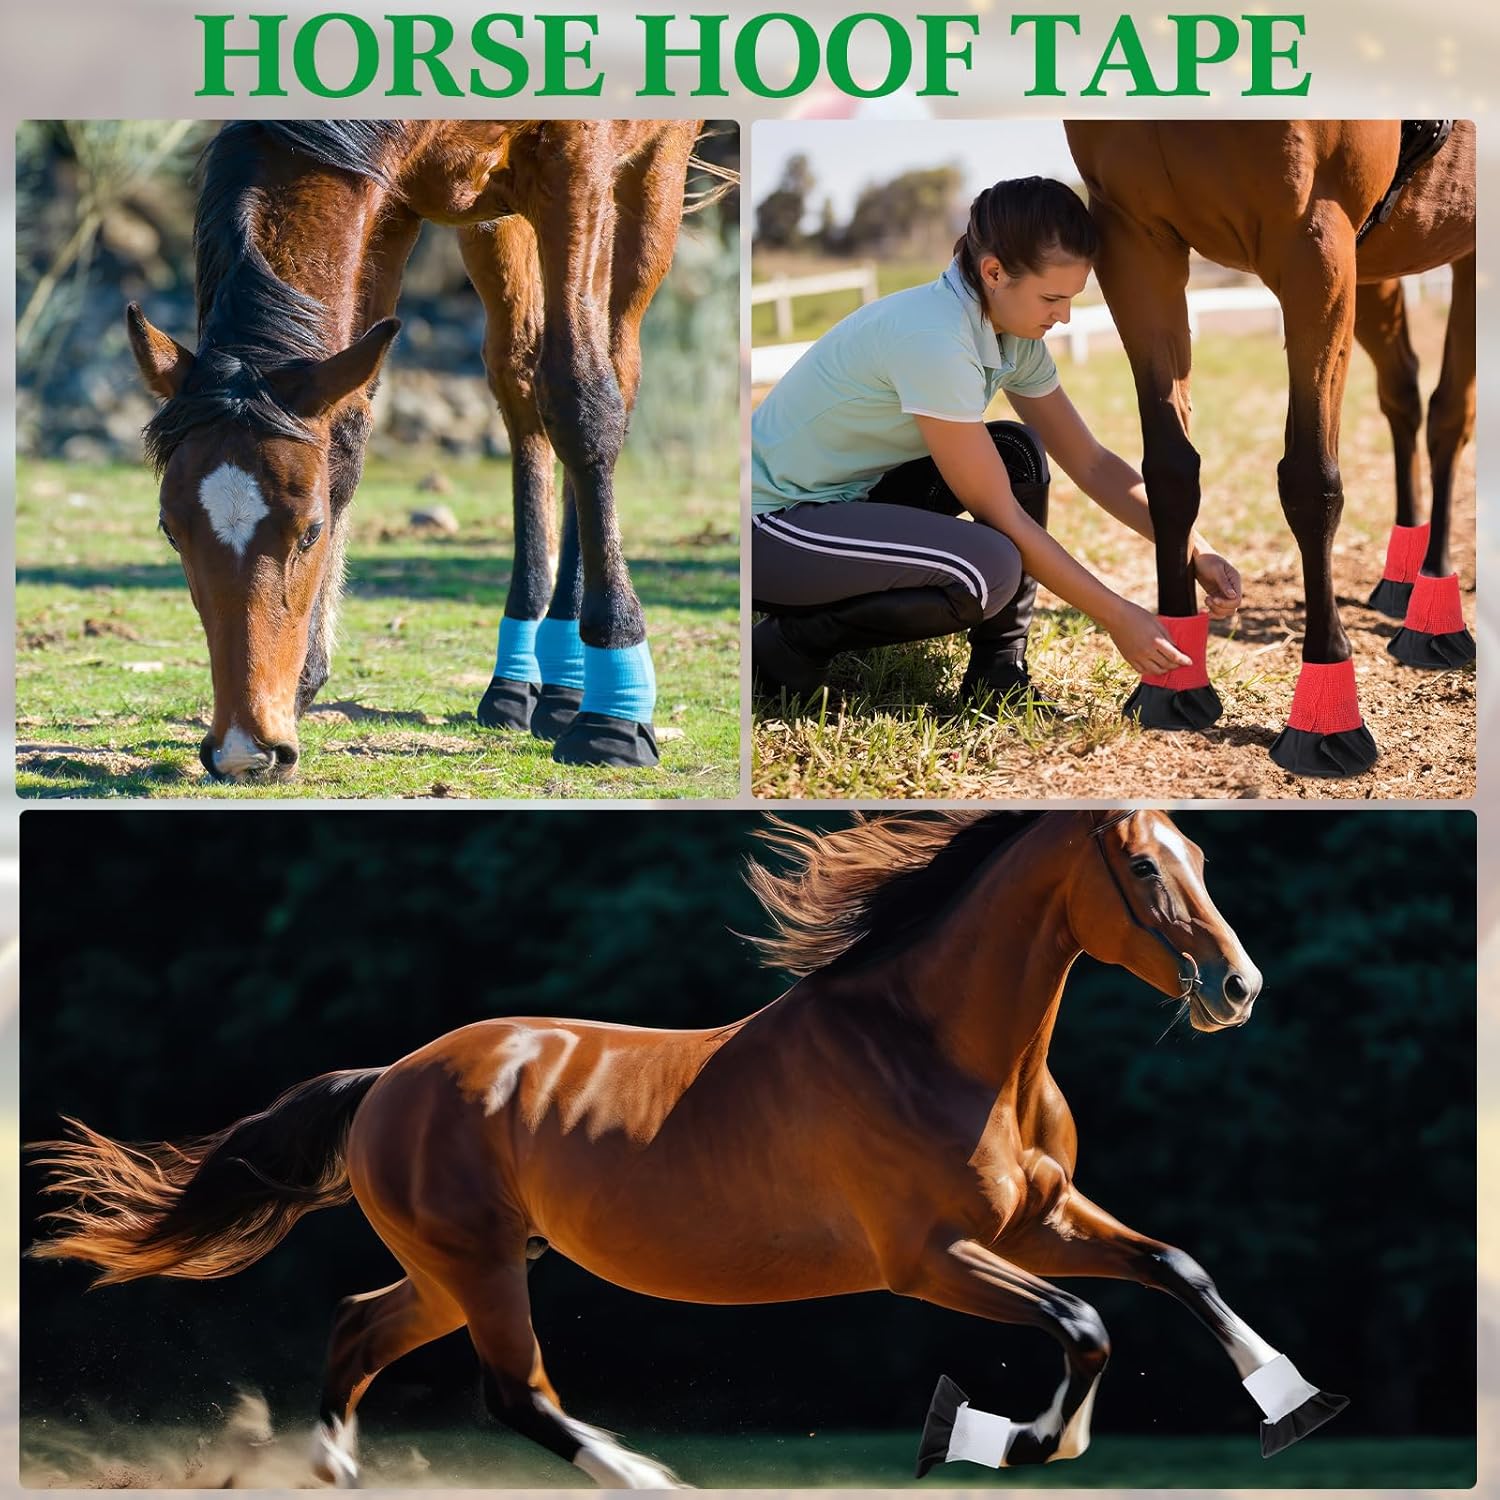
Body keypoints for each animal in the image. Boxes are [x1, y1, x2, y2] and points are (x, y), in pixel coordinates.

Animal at [30, 809, 1344, 1487]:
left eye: (1204, 858)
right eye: (1143, 865)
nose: (1239, 987)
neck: (945, 1049)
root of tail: (387, 1079)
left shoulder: (1041, 1219)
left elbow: (1176, 1270)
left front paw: (1296, 1405)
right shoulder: (931, 1259)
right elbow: (1086, 1326)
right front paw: (1007, 1436)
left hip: (463, 1268)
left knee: (362, 1326)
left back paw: (340, 1473)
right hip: (483, 1267)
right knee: (517, 1391)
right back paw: (653, 1478)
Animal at [126, 119, 711, 780]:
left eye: (309, 531)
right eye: (171, 531)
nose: (244, 752)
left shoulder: (581, 161)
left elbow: (584, 403)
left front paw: (612, 716)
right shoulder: (386, 205)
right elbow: (347, 435)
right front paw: (304, 680)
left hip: (646, 177)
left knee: (611, 367)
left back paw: (577, 684)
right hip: (496, 224)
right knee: (519, 381)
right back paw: (524, 681)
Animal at [1065, 120, 1475, 779]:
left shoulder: (1315, 239)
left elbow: (1310, 480)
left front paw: (1326, 719)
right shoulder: (1133, 238)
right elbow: (1170, 473)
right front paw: (1174, 686)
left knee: (1449, 415)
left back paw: (1434, 613)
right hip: (1378, 263)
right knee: (1405, 394)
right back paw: (1403, 583)